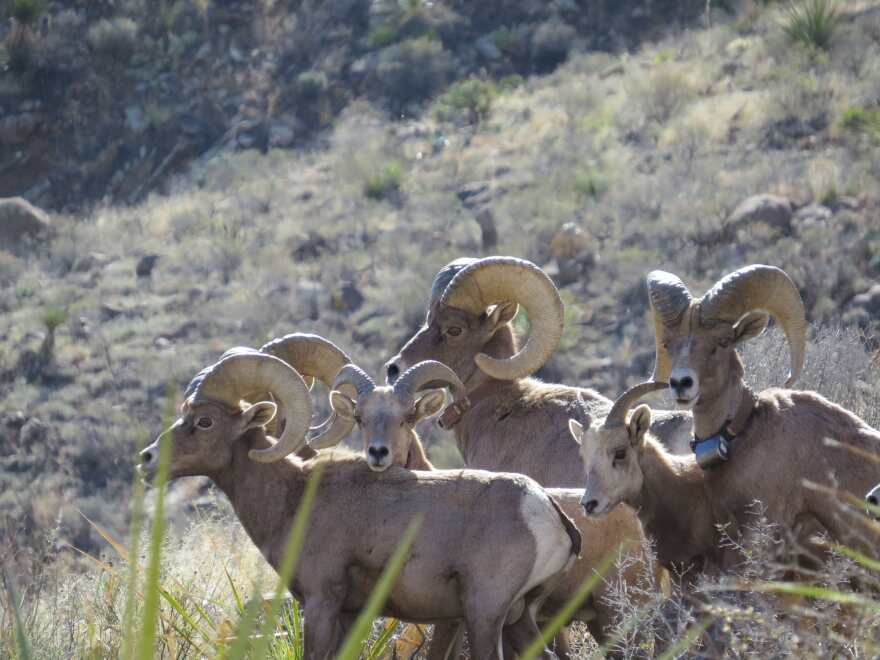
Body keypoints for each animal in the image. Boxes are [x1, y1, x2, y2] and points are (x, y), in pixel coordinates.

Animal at [139, 348, 576, 656]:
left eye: (205, 421)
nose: (147, 460)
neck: (293, 499)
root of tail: (546, 511)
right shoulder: (349, 613)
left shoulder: (321, 603)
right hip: (520, 618)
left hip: (485, 615)